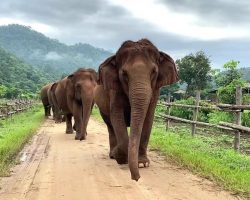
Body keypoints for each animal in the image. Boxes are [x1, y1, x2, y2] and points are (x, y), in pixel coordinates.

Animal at [94, 39, 178, 181]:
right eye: (124, 73)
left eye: (154, 71)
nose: (136, 178)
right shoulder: (114, 91)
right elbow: (117, 116)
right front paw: (121, 158)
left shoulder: (155, 91)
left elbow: (148, 118)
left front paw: (142, 163)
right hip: (101, 107)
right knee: (110, 125)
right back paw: (112, 155)